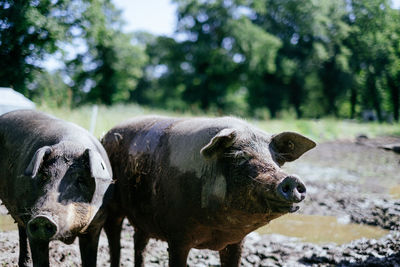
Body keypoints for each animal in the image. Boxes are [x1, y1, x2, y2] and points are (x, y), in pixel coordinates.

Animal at [102, 116, 316, 266]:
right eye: (239, 156)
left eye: (277, 160)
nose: (291, 179)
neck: (218, 231)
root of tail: (106, 134)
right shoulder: (177, 236)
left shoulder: (236, 241)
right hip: (112, 206)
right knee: (114, 237)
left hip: (142, 219)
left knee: (139, 241)